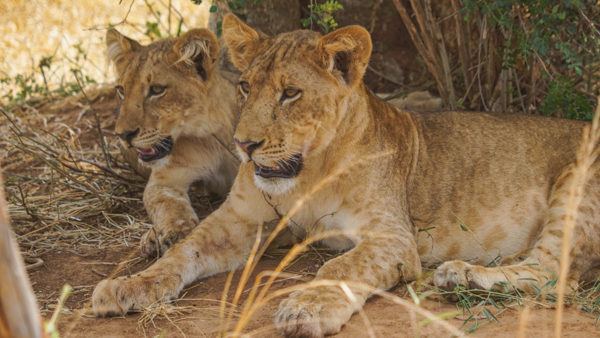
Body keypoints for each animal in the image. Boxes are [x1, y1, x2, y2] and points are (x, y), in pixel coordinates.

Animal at [105, 28, 239, 256]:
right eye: (121, 90)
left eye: (157, 90)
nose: (123, 135)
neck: (211, 134)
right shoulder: (165, 179)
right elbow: (163, 203)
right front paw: (176, 232)